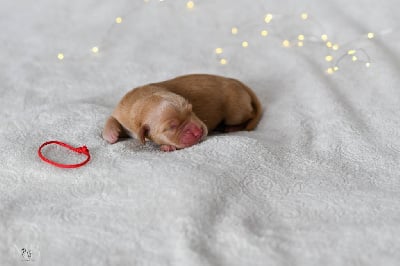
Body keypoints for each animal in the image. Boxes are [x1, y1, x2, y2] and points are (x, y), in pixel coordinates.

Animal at [102, 74, 262, 152]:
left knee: (250, 115)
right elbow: (112, 118)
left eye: (191, 110)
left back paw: (231, 128)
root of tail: (238, 83)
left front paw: (167, 146)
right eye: (171, 127)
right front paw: (111, 134)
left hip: (236, 111)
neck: (144, 99)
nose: (198, 131)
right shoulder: (123, 110)